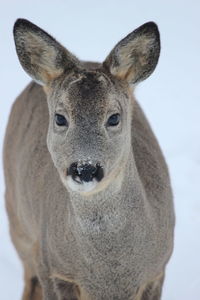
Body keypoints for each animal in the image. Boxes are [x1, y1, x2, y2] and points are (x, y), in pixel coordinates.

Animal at [3, 19, 175, 300]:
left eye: (114, 117)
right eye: (60, 117)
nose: (84, 169)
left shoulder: (157, 270)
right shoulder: (52, 267)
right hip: (18, 223)